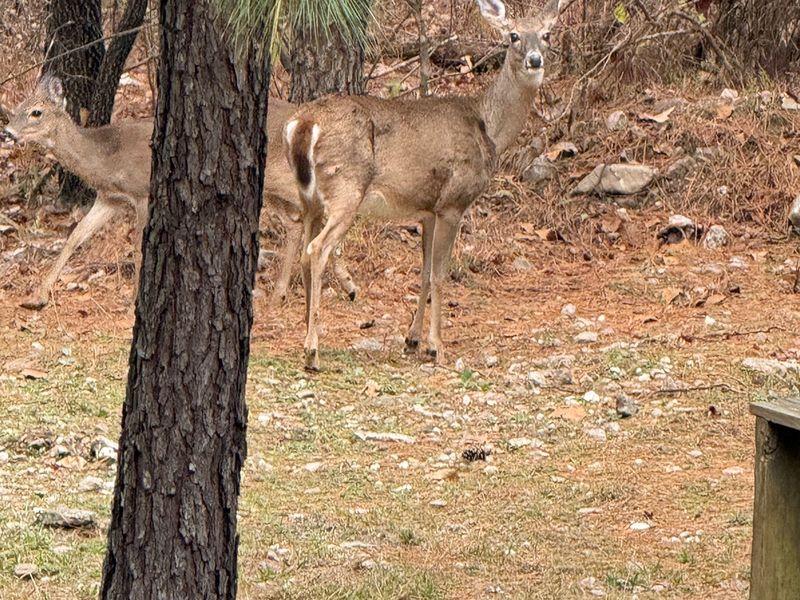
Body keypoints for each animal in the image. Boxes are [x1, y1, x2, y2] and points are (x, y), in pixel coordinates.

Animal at [4, 75, 358, 310]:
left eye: (36, 112)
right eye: (17, 107)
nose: (7, 132)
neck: (104, 155)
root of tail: (304, 120)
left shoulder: (142, 193)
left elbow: (137, 248)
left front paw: (135, 299)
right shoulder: (109, 199)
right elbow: (75, 237)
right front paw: (38, 296)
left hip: (284, 177)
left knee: (324, 211)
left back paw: (344, 282)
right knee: (297, 222)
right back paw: (282, 292)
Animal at [284, 0, 562, 372]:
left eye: (546, 34)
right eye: (513, 35)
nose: (535, 59)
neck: (488, 127)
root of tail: (304, 122)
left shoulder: (427, 210)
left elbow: (424, 272)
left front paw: (412, 340)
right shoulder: (453, 203)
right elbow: (440, 275)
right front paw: (437, 346)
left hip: (310, 197)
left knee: (304, 252)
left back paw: (307, 334)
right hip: (346, 187)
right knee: (318, 249)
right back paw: (312, 351)